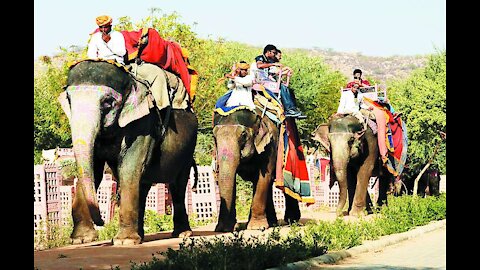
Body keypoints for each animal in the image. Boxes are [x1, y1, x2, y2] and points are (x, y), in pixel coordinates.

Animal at [57, 60, 198, 246]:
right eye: (69, 100)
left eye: (108, 102)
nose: (102, 221)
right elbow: (94, 172)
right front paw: (80, 239)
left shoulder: (144, 124)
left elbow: (129, 169)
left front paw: (124, 242)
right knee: (143, 185)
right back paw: (141, 236)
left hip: (188, 149)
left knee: (177, 185)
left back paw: (182, 234)